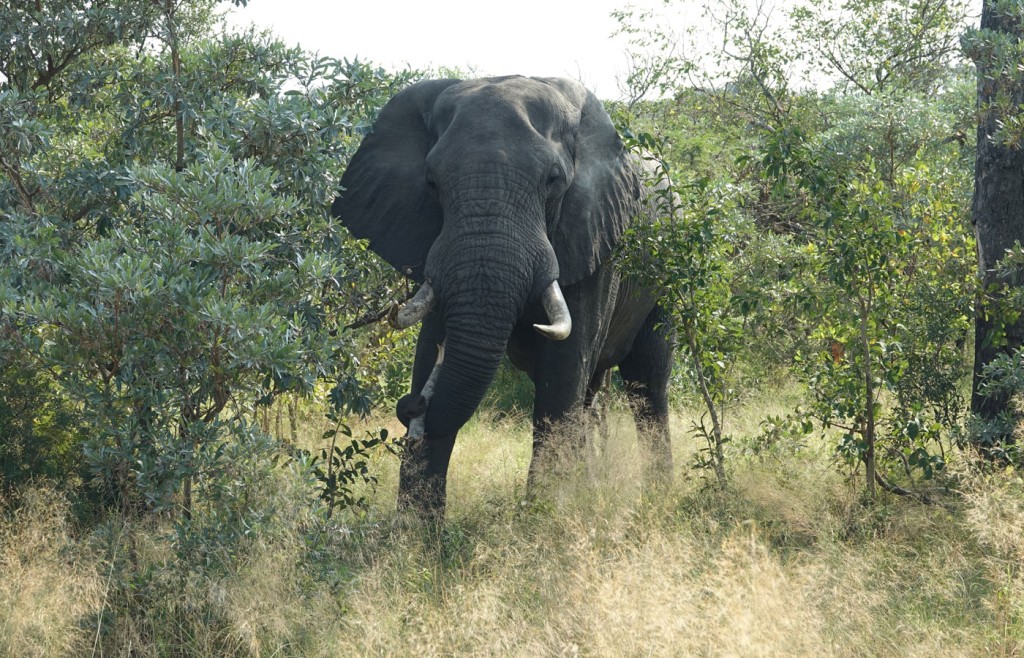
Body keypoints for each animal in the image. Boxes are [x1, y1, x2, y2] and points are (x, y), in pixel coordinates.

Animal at [331, 75, 675, 519]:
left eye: (553, 180)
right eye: (431, 183)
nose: (411, 406)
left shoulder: (597, 236)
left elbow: (563, 370)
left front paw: (546, 518)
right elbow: (430, 346)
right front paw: (416, 532)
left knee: (646, 381)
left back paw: (657, 495)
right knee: (591, 394)